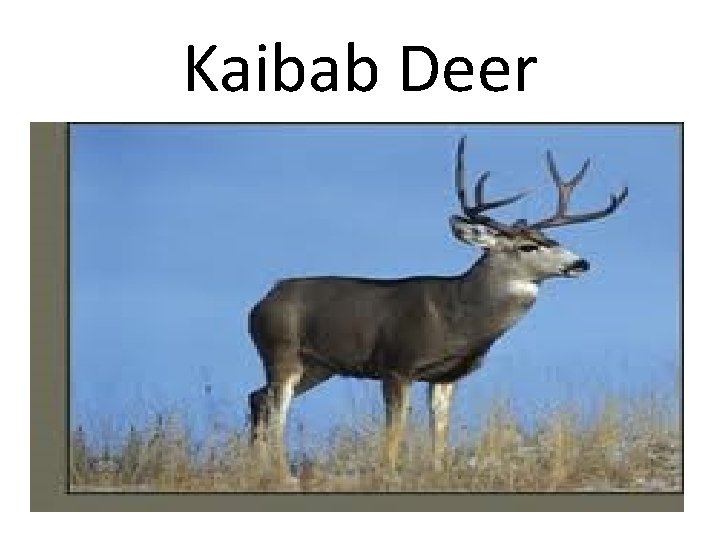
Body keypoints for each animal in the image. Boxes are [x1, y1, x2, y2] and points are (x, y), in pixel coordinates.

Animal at [247, 136, 628, 479]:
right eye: (528, 246)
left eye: (553, 239)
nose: (581, 263)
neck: (456, 316)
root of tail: (261, 301)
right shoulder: (397, 364)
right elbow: (395, 430)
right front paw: (389, 473)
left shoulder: (447, 376)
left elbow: (440, 433)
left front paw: (438, 471)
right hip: (282, 351)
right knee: (276, 410)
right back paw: (281, 474)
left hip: (319, 365)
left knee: (257, 398)